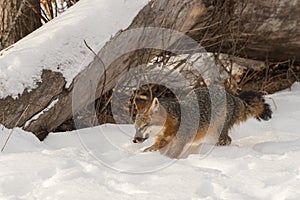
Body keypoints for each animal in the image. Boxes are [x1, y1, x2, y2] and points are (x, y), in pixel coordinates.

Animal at [132, 87, 274, 158]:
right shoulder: (161, 141)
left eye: (144, 126)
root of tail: (232, 96)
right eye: (136, 127)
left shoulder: (178, 143)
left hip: (217, 134)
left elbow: (170, 156)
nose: (134, 140)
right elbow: (150, 150)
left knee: (227, 140)